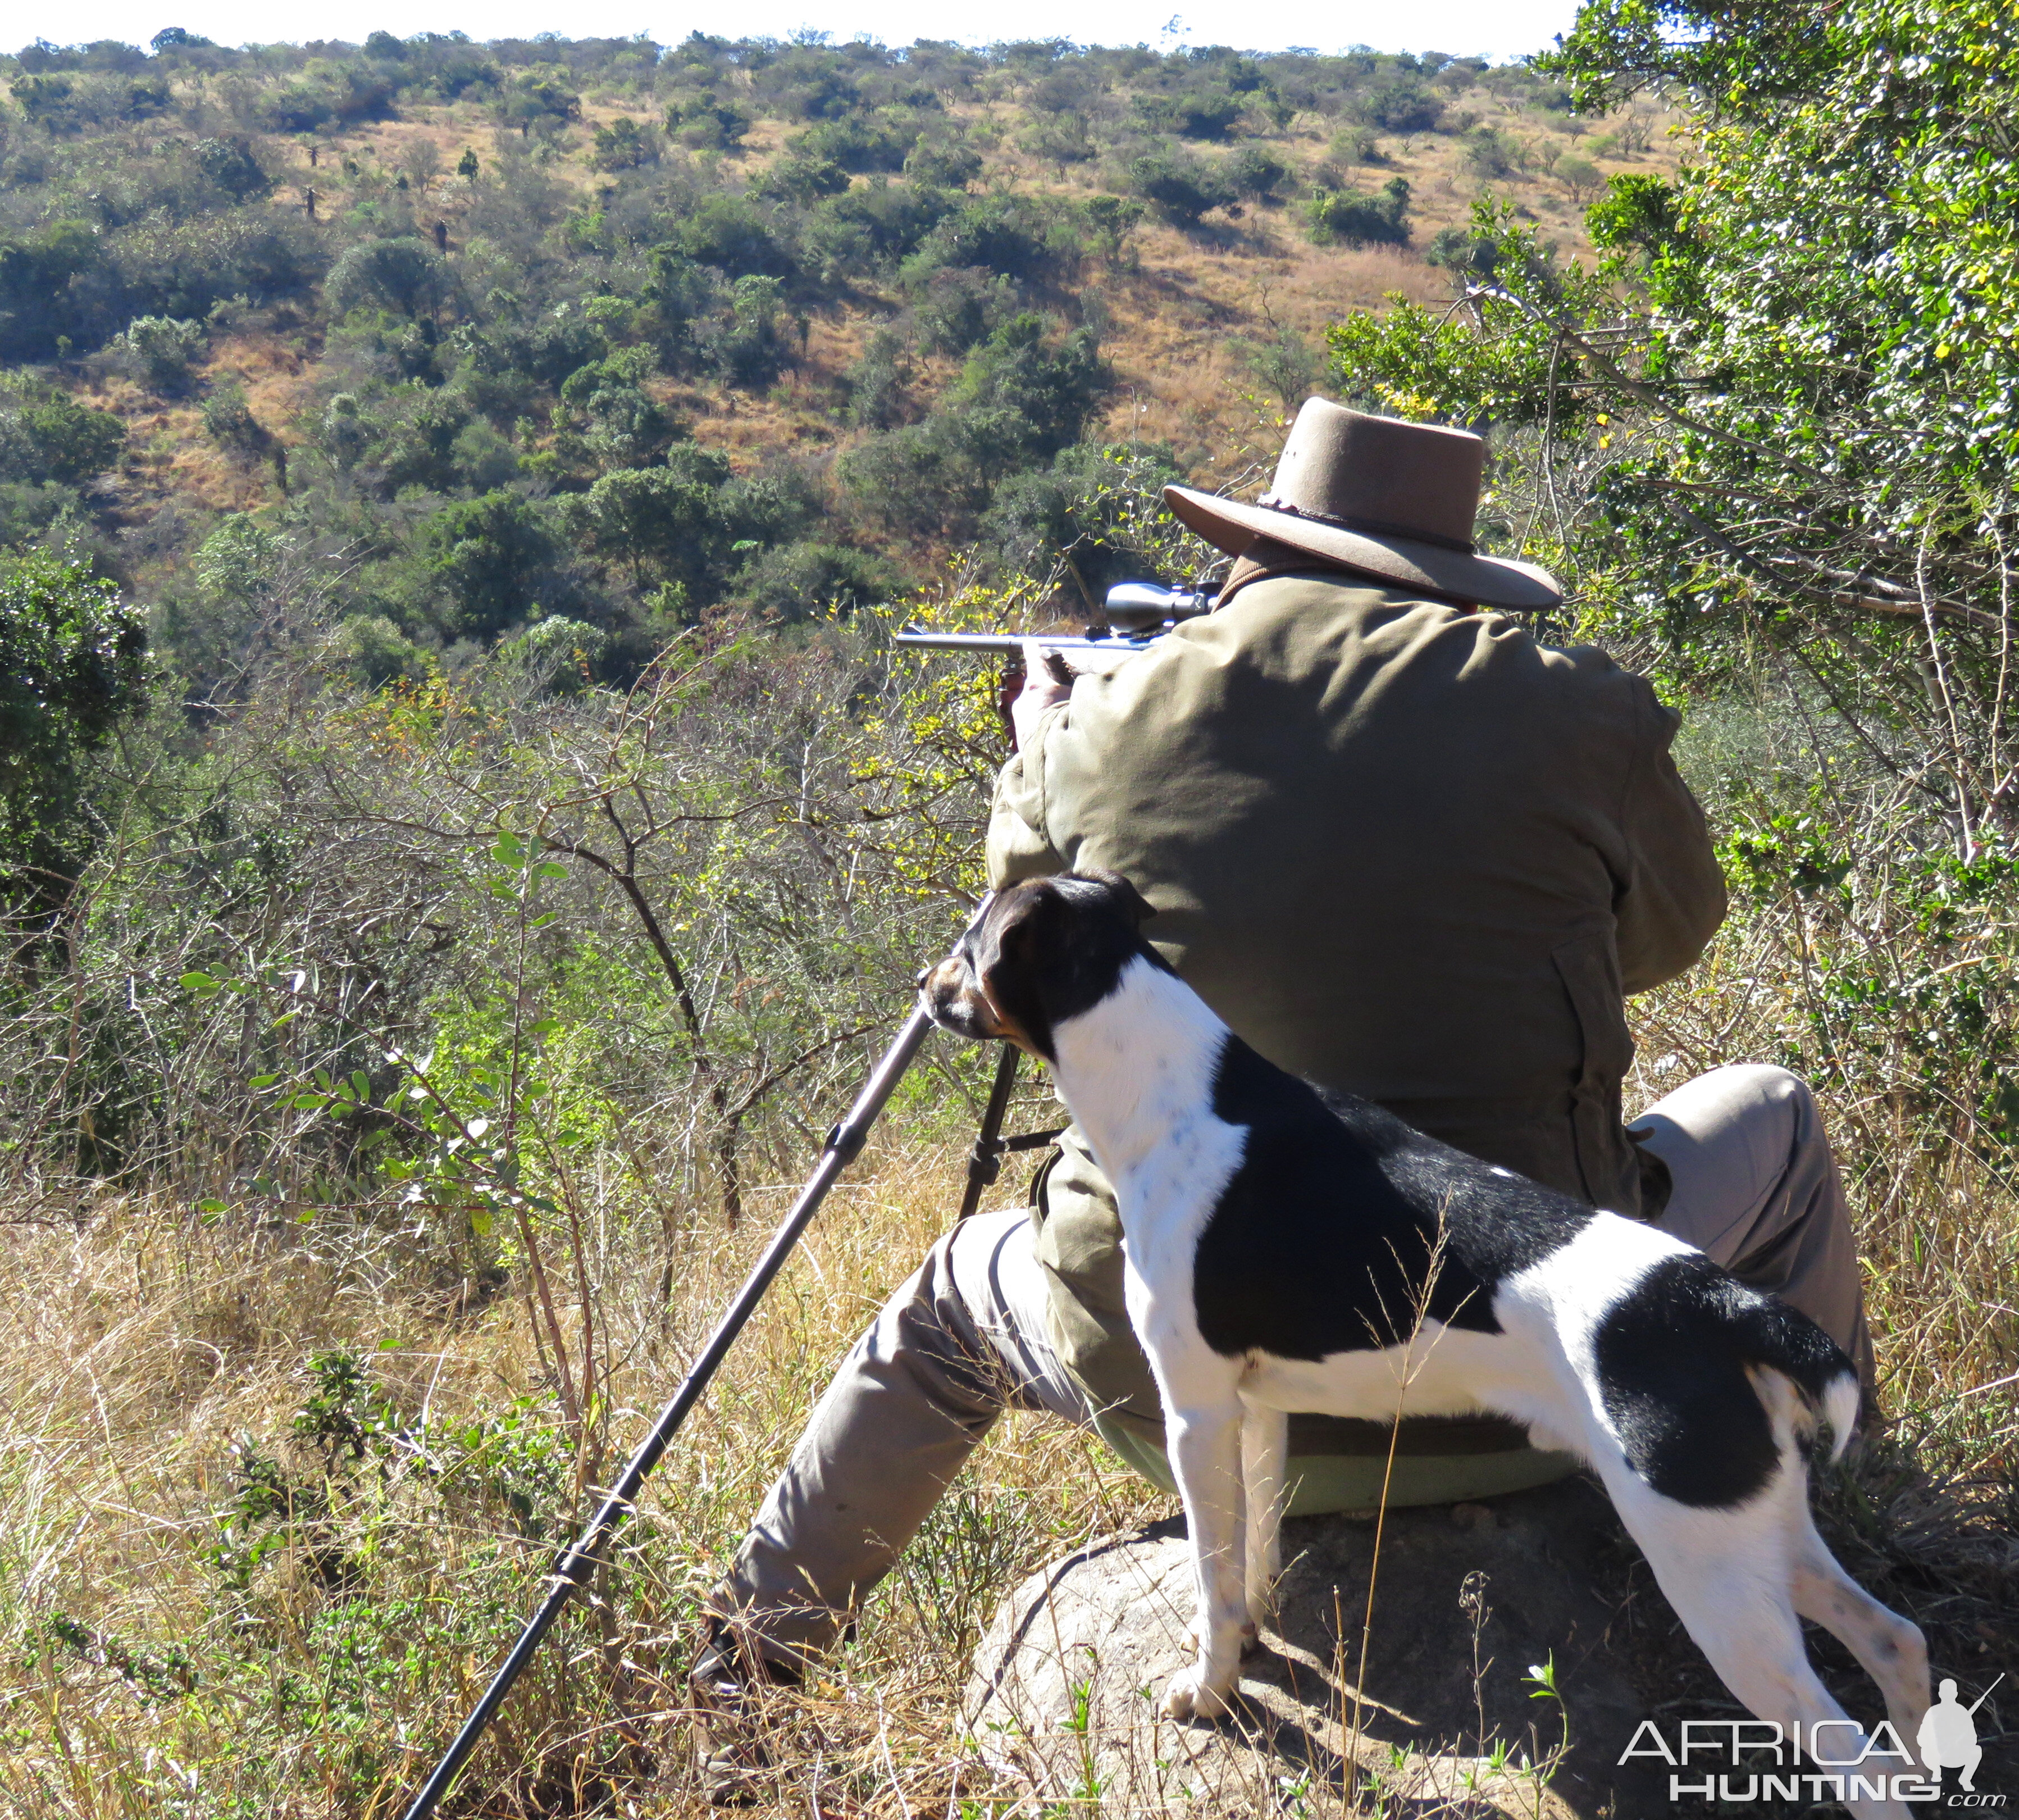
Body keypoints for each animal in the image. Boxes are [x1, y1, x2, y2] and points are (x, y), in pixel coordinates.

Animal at [924, 872, 1930, 1810]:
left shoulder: (1195, 1413)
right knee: (1895, 1641)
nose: (924, 989)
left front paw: (1209, 1688)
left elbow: (1213, 1574)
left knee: (1861, 1763)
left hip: (1708, 1574)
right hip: (1754, 1526)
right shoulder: (1255, 1409)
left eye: (968, 941)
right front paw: (1249, 1636)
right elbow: (1253, 1549)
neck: (1171, 1088)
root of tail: (1724, 1302)